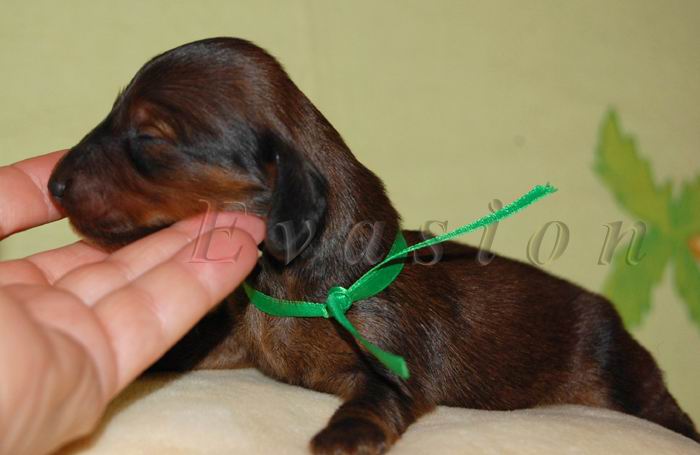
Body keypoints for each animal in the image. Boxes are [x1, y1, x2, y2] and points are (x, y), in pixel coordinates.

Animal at [48, 37, 699, 453]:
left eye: (149, 137)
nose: (52, 184)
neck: (287, 283)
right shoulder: (237, 340)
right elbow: (190, 348)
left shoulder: (391, 355)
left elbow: (378, 397)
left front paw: (341, 436)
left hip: (623, 373)